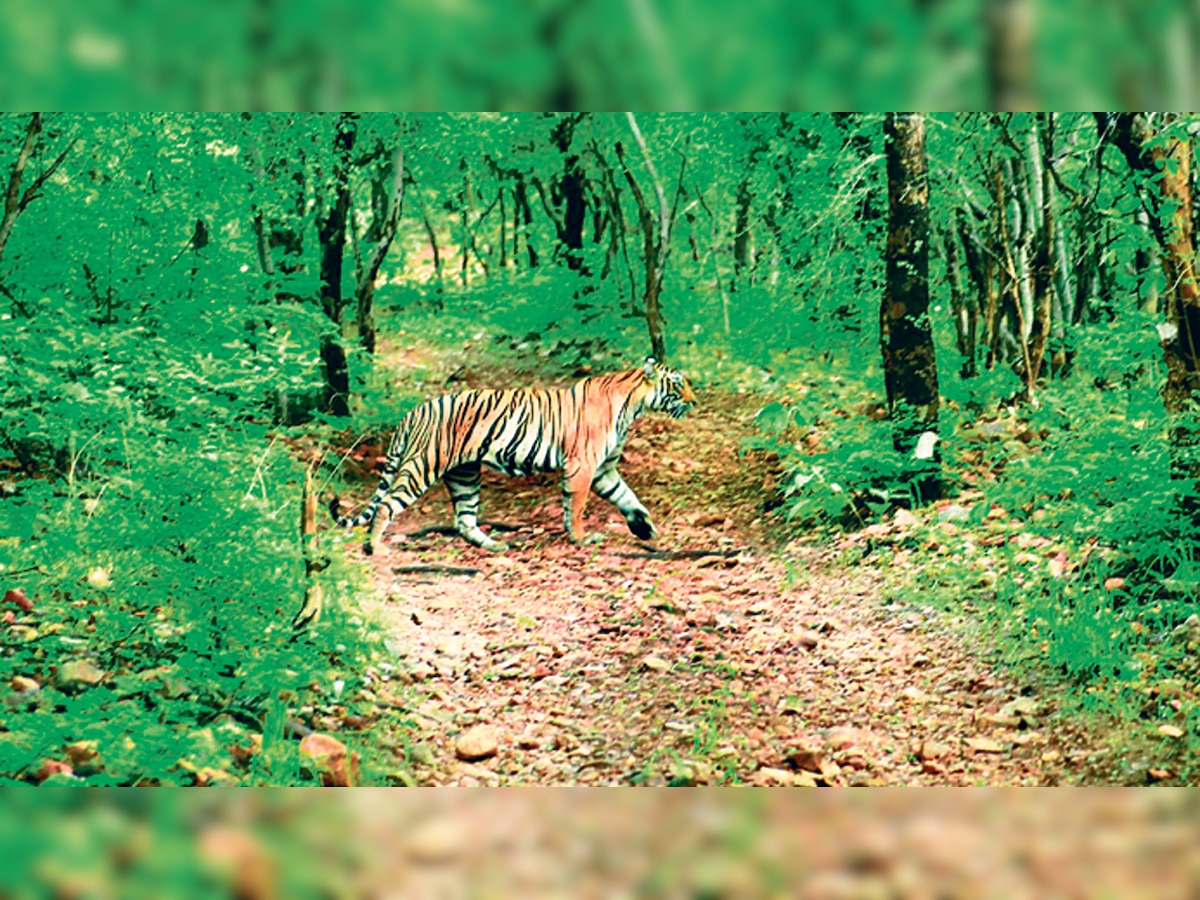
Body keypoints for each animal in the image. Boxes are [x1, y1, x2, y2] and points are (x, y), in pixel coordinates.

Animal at [333, 360, 700, 556]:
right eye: (677, 384)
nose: (695, 401)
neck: (633, 405)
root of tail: (413, 412)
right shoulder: (583, 466)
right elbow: (577, 507)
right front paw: (581, 538)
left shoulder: (604, 470)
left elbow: (628, 497)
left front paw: (646, 527)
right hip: (422, 466)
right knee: (386, 505)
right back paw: (374, 547)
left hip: (464, 474)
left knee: (464, 519)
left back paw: (494, 546)